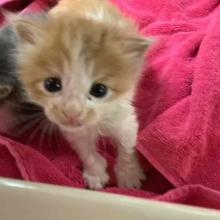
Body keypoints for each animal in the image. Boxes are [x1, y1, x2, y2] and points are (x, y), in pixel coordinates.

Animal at [10, 0, 151, 189]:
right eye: (51, 84)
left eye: (100, 90)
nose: (72, 112)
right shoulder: (73, 131)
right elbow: (85, 150)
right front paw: (96, 173)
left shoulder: (124, 117)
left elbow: (126, 145)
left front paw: (129, 175)